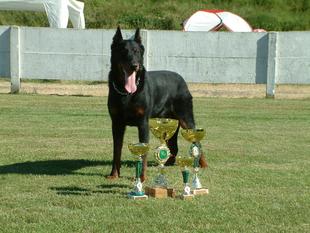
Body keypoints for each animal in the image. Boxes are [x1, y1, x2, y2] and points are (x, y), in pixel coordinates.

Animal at [108, 27, 207, 180]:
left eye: (136, 51)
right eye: (123, 51)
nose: (134, 65)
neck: (127, 93)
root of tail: (182, 79)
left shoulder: (143, 123)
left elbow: (143, 154)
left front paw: (142, 178)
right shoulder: (117, 123)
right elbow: (116, 150)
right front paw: (114, 175)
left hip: (185, 119)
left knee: (197, 141)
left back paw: (202, 164)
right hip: (169, 122)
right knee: (174, 145)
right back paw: (168, 162)